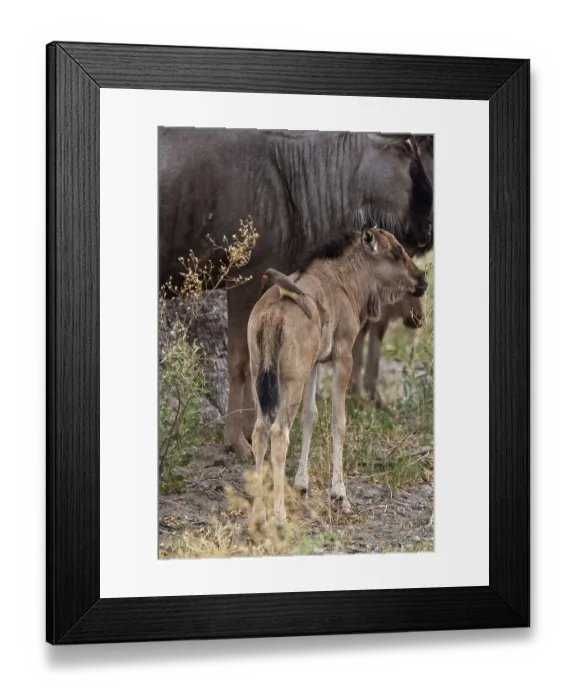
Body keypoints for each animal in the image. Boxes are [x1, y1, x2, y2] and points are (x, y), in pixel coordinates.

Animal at [159, 128, 433, 458]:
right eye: (406, 152)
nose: (428, 228)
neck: (291, 173)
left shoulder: (266, 283)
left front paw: (252, 432)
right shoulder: (244, 280)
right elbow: (240, 362)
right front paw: (237, 441)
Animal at [246, 227, 428, 525]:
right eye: (395, 251)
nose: (422, 280)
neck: (345, 282)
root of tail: (271, 316)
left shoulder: (315, 363)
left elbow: (311, 416)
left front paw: (302, 484)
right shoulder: (343, 356)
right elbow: (338, 421)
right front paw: (339, 494)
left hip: (258, 376)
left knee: (260, 431)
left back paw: (258, 512)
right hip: (290, 382)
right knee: (279, 433)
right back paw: (279, 514)